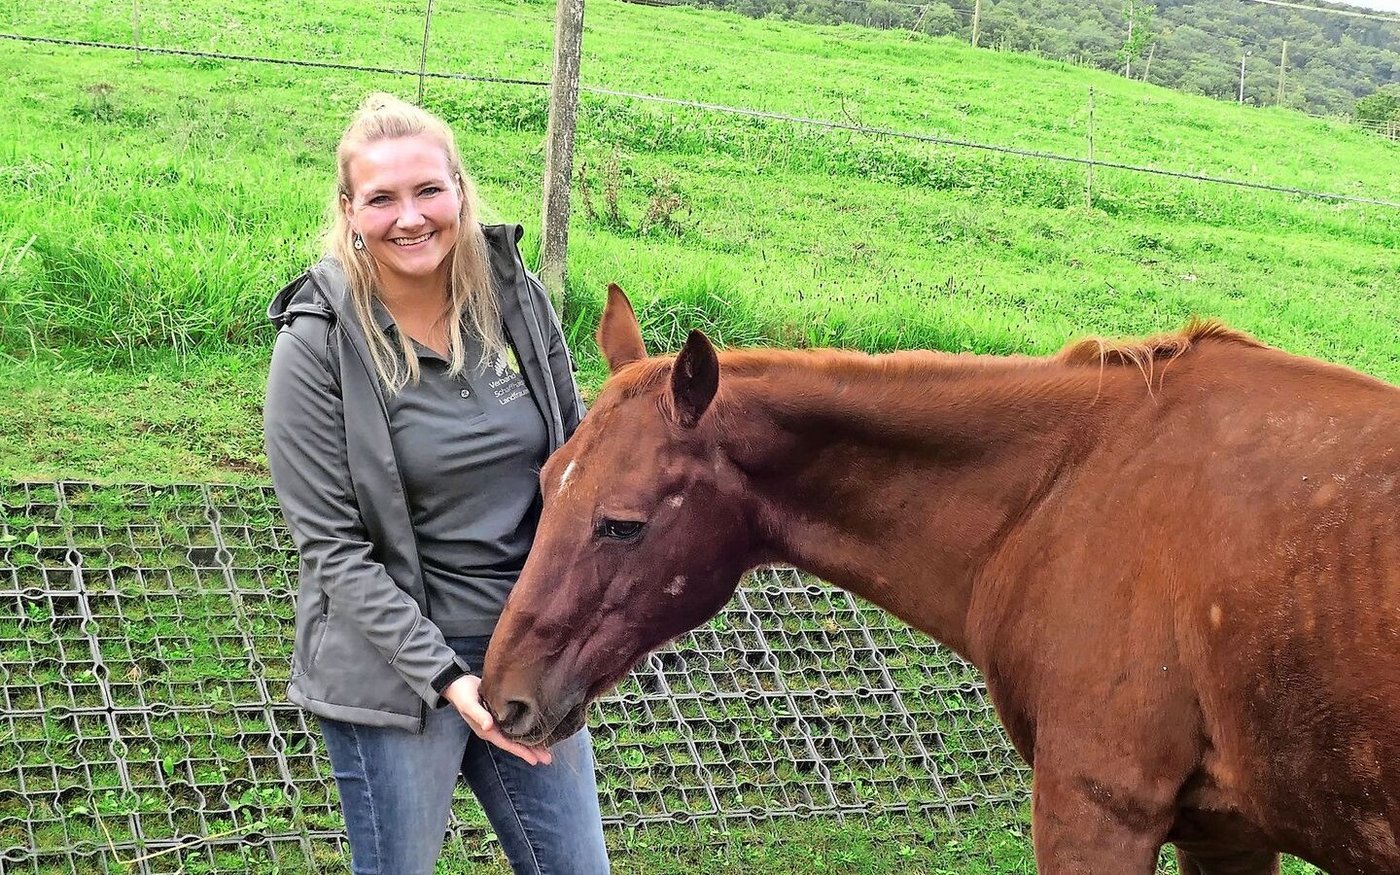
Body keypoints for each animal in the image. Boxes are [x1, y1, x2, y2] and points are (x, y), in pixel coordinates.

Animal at [482, 284, 1400, 874]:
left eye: (623, 523)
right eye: (547, 481)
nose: (503, 697)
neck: (1071, 483)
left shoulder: (1096, 811)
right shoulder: (1226, 833)